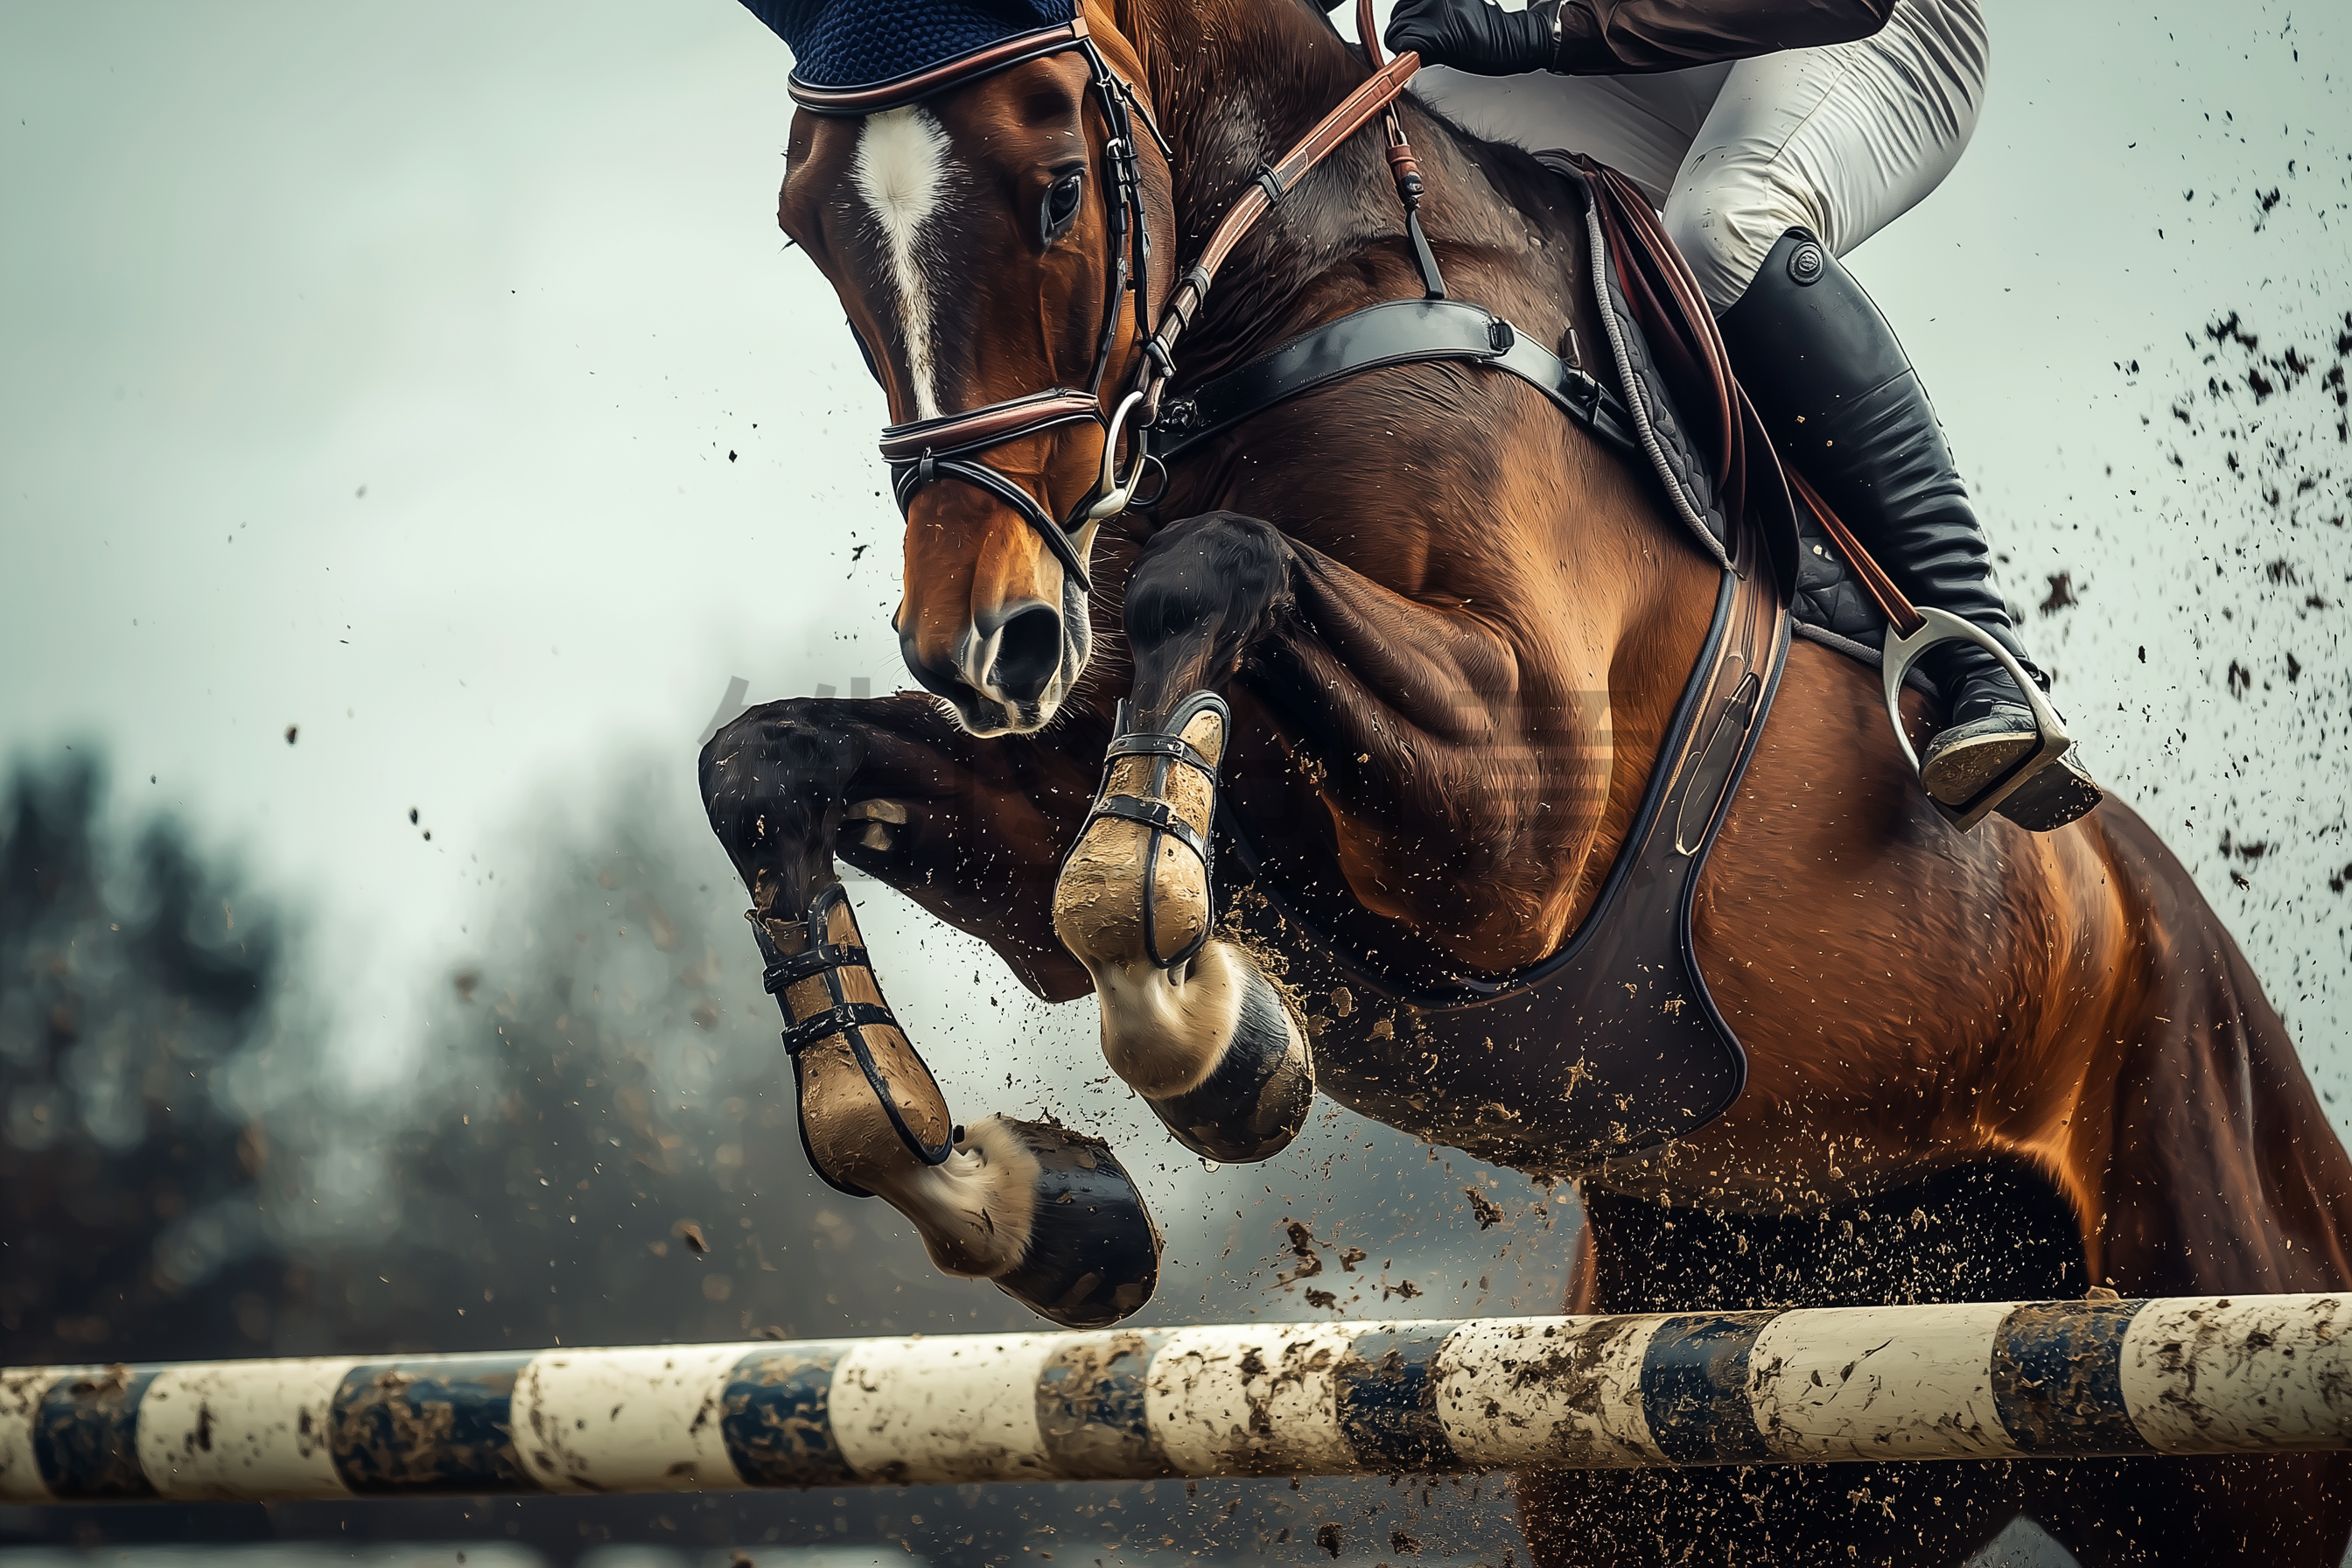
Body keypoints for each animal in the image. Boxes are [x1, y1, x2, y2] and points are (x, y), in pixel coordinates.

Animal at [698, 0, 2352, 1558]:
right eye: (806, 226)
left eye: (1053, 190)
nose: (978, 642)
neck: (1294, 303)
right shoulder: (1064, 780)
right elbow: (760, 765)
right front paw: (1000, 1183)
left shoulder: (1516, 824)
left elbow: (1212, 571)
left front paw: (1212, 1031)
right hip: (1750, 1422)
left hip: (2219, 1333)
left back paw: (1988, 708)